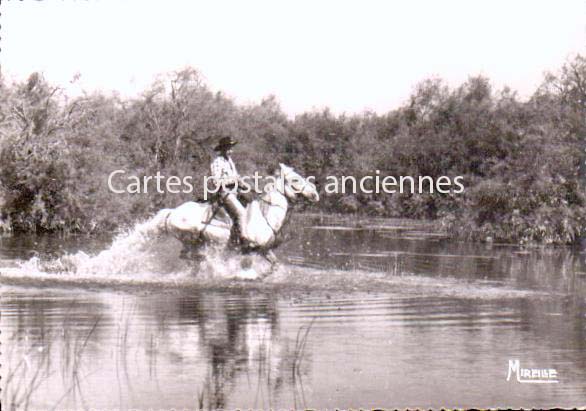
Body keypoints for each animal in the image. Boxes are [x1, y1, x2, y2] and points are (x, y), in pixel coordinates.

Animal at [149, 165, 314, 268]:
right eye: (295, 180)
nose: (315, 194)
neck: (264, 216)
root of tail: (171, 213)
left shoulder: (264, 250)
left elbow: (275, 265)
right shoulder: (251, 250)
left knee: (188, 258)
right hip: (200, 240)